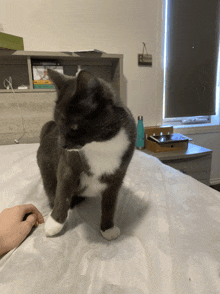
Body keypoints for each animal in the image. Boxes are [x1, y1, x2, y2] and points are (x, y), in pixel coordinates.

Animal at [37, 69, 137, 241]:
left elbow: (110, 202)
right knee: (51, 189)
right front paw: (54, 223)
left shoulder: (118, 174)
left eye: (73, 127)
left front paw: (108, 228)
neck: (102, 144)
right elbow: (62, 194)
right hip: (46, 166)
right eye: (58, 123)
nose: (61, 144)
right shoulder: (68, 166)